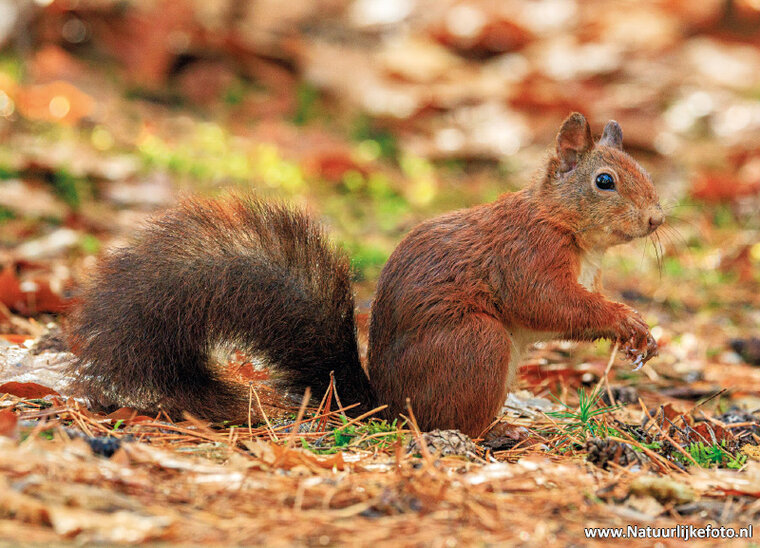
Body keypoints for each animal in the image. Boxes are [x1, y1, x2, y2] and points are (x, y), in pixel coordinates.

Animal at [67, 112, 663, 437]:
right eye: (605, 181)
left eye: (645, 171)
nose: (657, 219)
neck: (563, 223)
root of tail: (385, 406)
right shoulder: (526, 256)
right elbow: (549, 303)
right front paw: (626, 321)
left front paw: (641, 332)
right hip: (477, 344)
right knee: (447, 420)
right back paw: (498, 432)